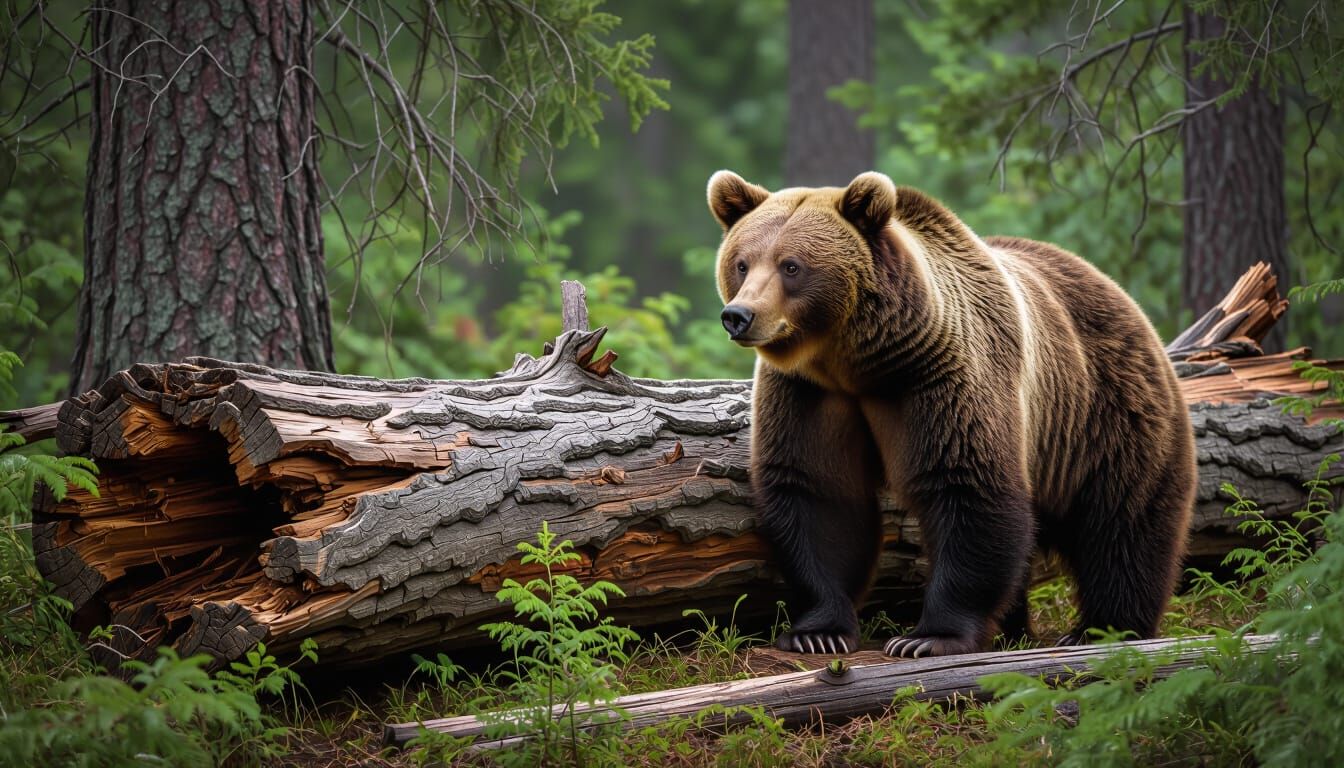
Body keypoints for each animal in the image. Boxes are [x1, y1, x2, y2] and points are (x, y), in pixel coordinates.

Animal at [706, 169, 1196, 658]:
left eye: (791, 265)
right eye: (742, 263)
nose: (739, 315)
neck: (856, 361)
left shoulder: (938, 376)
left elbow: (967, 483)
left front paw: (927, 637)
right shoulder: (810, 393)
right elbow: (818, 492)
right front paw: (818, 632)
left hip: (1104, 412)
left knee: (1122, 522)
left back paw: (1104, 627)